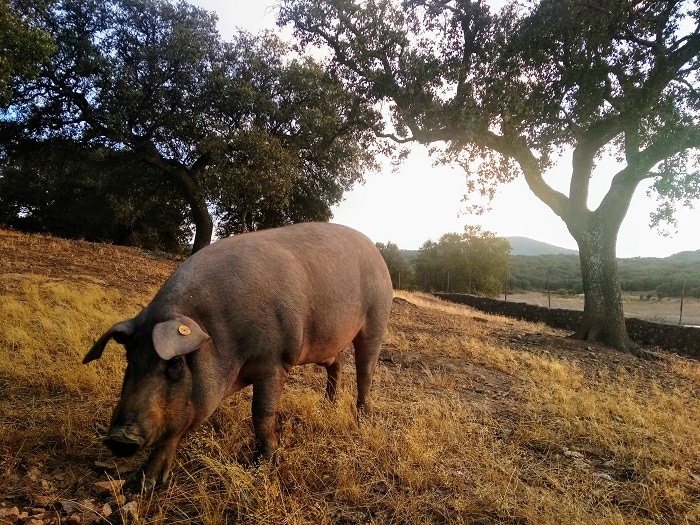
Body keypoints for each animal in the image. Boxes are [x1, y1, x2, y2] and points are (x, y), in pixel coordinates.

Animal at [82, 220, 394, 488]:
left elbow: (262, 413)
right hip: (326, 343)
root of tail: (376, 251)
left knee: (365, 371)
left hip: (376, 320)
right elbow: (175, 429)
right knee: (337, 363)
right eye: (130, 359)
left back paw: (361, 417)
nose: (119, 438)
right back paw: (327, 407)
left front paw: (262, 465)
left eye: (175, 363)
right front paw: (141, 486)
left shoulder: (275, 360)